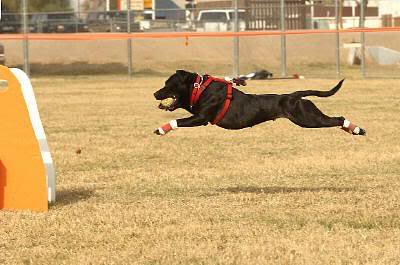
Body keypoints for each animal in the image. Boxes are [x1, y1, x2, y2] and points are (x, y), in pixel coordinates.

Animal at [153, 69, 366, 135]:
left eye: (168, 84)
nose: (155, 93)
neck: (199, 88)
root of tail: (294, 96)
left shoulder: (201, 118)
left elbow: (178, 121)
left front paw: (162, 129)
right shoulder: (197, 115)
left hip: (309, 119)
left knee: (338, 118)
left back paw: (357, 129)